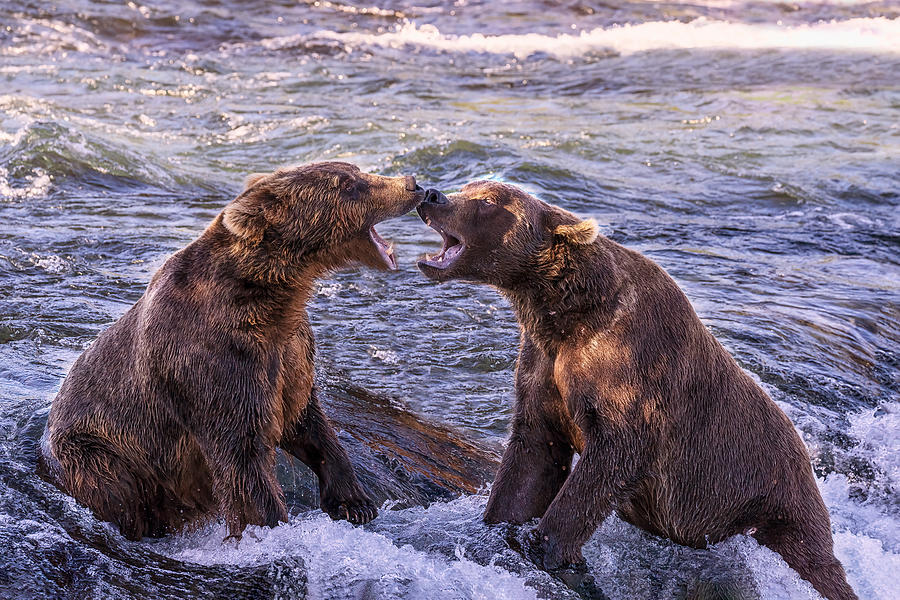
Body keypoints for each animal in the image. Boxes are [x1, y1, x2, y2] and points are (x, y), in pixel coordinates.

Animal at [39, 162, 426, 540]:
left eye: (355, 171)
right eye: (347, 184)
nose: (412, 183)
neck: (269, 296)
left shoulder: (289, 350)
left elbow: (306, 417)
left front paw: (355, 502)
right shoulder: (214, 360)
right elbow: (242, 455)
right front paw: (270, 528)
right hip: (102, 451)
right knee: (115, 491)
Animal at [414, 183, 856, 600]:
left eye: (488, 200)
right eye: (469, 187)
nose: (433, 196)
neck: (563, 311)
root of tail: (807, 461)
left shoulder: (630, 367)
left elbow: (612, 456)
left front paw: (547, 544)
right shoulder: (543, 364)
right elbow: (532, 455)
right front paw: (497, 526)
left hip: (770, 498)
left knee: (813, 560)